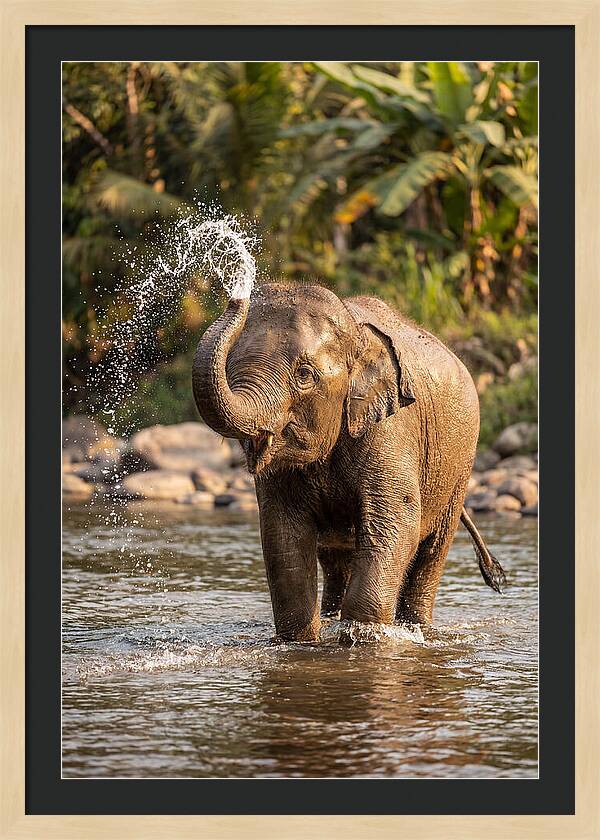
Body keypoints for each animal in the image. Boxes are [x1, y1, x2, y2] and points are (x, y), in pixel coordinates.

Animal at [192, 283, 506, 642]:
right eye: (230, 366)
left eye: (304, 375)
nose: (237, 295)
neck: (355, 333)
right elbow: (282, 533)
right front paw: (302, 641)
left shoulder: (392, 428)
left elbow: (396, 520)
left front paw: (363, 637)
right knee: (335, 558)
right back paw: (332, 617)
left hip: (459, 468)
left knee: (431, 551)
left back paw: (417, 628)